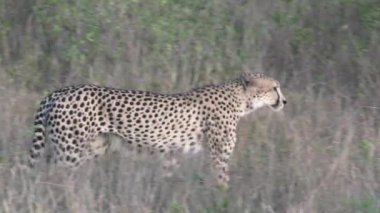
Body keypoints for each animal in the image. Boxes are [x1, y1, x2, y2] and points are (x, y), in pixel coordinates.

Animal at [28, 71, 286, 186]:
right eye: (274, 87)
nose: (284, 101)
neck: (242, 100)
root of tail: (58, 91)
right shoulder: (219, 157)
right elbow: (222, 184)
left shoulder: (171, 156)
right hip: (69, 152)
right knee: (56, 179)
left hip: (85, 149)